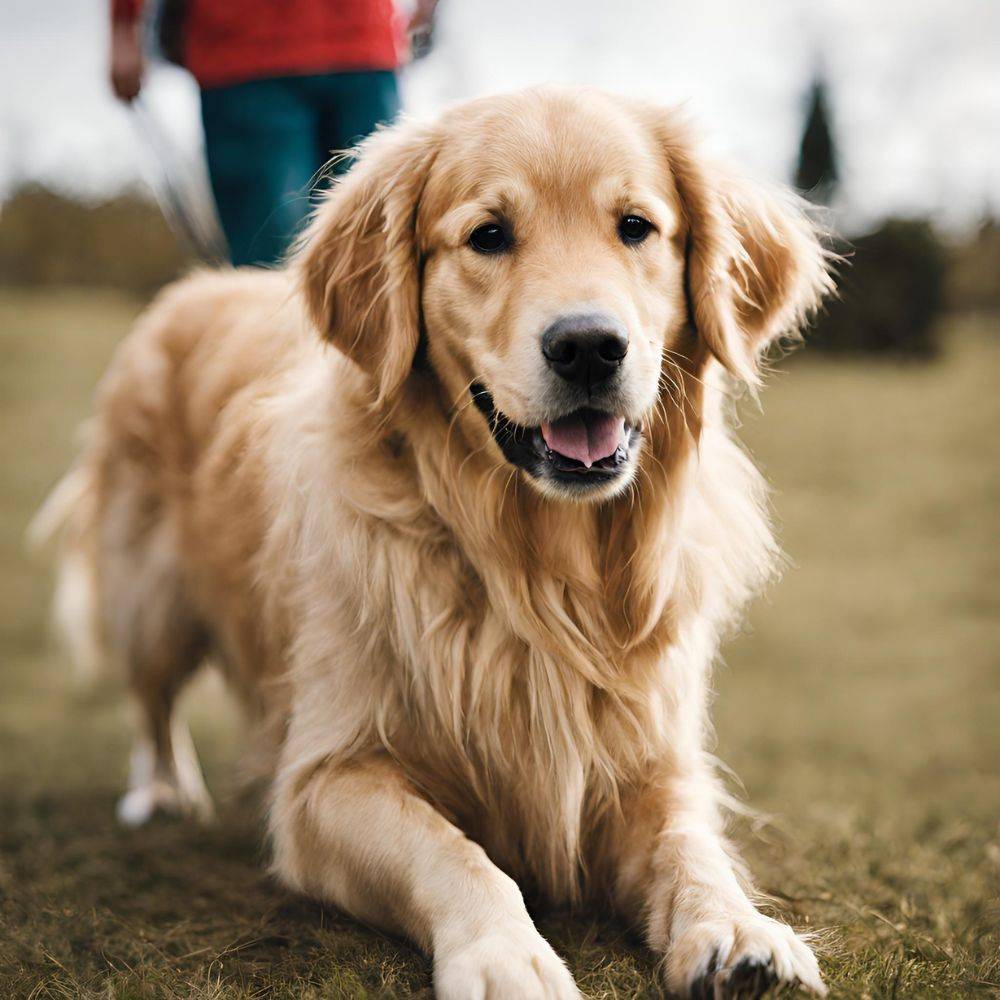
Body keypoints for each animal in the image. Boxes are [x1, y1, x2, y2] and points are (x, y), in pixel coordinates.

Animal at [39, 90, 832, 996]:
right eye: (488, 234)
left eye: (636, 226)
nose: (589, 347)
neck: (533, 567)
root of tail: (193, 286)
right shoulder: (326, 779)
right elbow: (450, 853)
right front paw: (506, 956)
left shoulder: (652, 760)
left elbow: (691, 848)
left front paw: (736, 929)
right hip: (152, 600)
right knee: (151, 704)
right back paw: (161, 795)